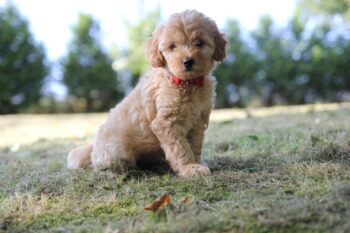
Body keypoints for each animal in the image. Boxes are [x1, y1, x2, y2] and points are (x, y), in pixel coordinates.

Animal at [67, 9, 227, 177]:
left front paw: (196, 163)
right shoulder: (166, 123)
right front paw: (189, 167)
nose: (188, 62)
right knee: (105, 167)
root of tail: (93, 149)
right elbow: (180, 146)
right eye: (173, 46)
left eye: (199, 43)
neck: (186, 83)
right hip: (118, 151)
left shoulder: (198, 120)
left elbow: (195, 144)